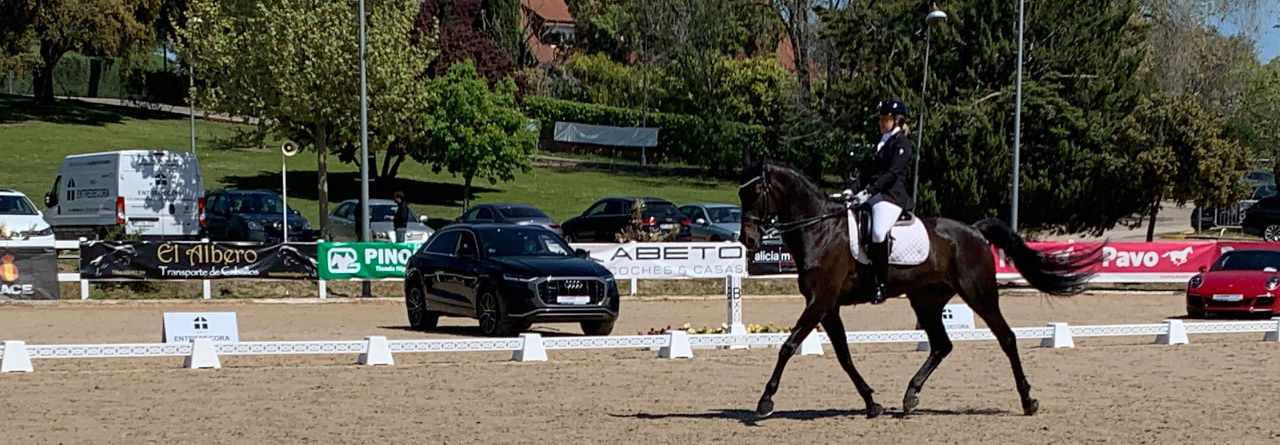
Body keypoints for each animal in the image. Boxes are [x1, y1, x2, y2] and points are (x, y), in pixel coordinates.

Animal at [737, 160, 1105, 419]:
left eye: (754, 193)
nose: (748, 241)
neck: (819, 230)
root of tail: (974, 230)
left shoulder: (820, 301)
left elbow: (788, 346)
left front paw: (765, 401)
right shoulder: (828, 306)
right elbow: (843, 355)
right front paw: (871, 403)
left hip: (979, 294)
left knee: (1007, 338)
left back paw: (1028, 400)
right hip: (926, 301)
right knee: (942, 345)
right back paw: (910, 396)